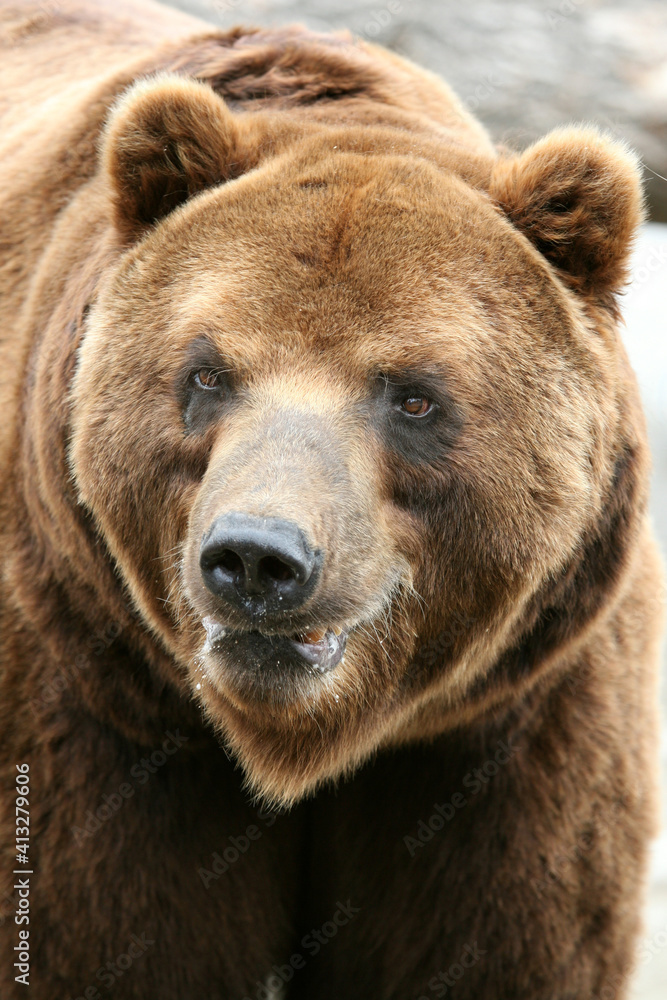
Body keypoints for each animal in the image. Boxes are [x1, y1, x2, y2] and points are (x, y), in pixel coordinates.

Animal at [0, 0, 664, 996]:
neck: (303, 745)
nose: (256, 557)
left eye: (414, 395)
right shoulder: (97, 707)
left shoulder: (502, 730)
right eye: (206, 372)